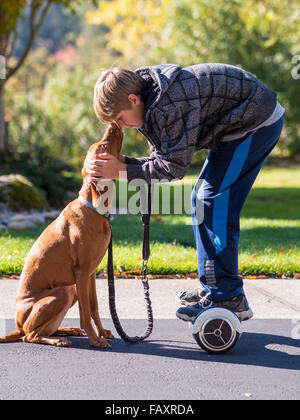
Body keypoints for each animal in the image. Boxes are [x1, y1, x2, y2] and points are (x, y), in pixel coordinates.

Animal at [0, 121, 123, 348]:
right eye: (102, 147)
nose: (112, 123)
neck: (95, 209)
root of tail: (17, 325)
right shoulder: (82, 272)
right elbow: (85, 313)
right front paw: (95, 339)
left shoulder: (90, 273)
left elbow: (94, 308)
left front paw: (102, 333)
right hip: (60, 293)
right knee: (29, 336)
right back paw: (58, 339)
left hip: (70, 288)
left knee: (41, 330)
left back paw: (67, 330)